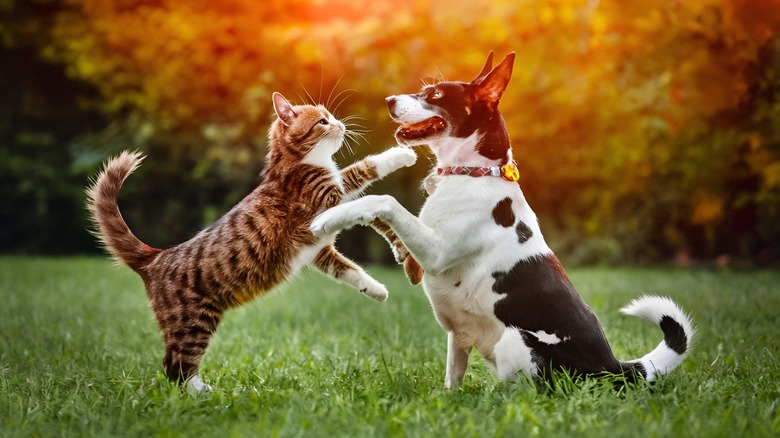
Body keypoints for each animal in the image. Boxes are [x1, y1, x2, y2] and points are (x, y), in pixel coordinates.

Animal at [87, 91, 418, 390]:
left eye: (330, 116)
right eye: (323, 121)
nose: (341, 124)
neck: (297, 163)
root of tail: (155, 257)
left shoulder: (317, 251)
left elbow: (348, 268)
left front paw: (375, 289)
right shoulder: (325, 200)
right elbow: (361, 172)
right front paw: (399, 156)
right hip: (193, 322)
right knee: (174, 365)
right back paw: (200, 394)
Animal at [310, 53, 696, 388]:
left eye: (434, 95)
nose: (389, 99)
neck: (472, 172)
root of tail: (612, 368)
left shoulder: (436, 252)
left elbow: (384, 200)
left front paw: (329, 218)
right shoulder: (458, 335)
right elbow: (452, 379)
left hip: (516, 340)